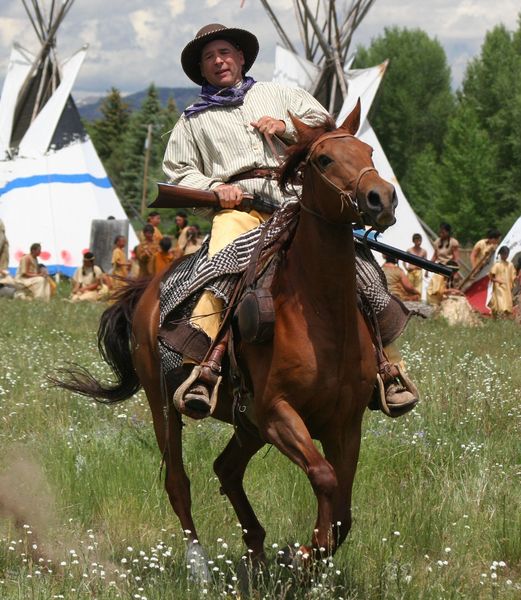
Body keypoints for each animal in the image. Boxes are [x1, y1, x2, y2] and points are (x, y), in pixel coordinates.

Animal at [55, 103, 394, 572]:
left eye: (367, 151)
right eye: (325, 159)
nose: (382, 198)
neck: (319, 314)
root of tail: (148, 291)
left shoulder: (345, 425)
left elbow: (342, 512)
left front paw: (305, 559)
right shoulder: (276, 415)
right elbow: (324, 479)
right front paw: (301, 556)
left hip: (245, 425)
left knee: (226, 469)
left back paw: (257, 551)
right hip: (166, 405)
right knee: (179, 481)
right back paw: (200, 564)